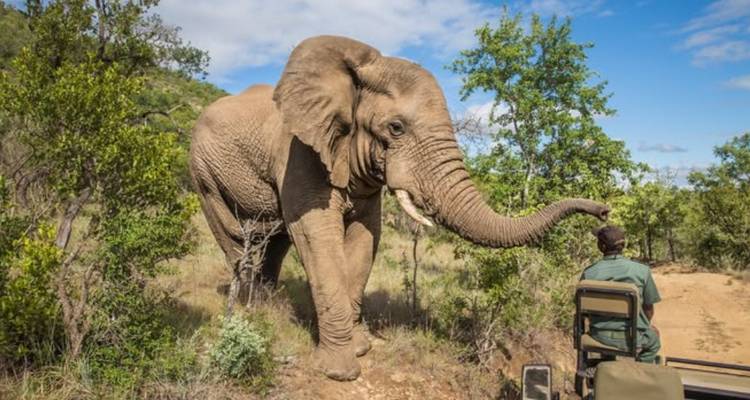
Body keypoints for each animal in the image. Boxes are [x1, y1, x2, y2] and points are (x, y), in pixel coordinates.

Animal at [189, 35, 609, 381]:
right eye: (395, 128)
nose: (604, 211)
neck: (357, 69)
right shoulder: (298, 153)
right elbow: (315, 235)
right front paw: (340, 371)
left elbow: (365, 238)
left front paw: (360, 347)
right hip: (203, 173)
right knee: (236, 237)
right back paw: (251, 310)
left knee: (274, 241)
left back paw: (268, 306)